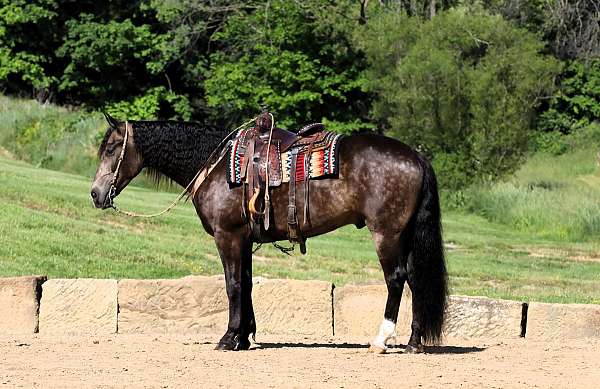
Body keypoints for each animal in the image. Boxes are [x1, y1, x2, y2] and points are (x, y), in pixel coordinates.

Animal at [90, 113, 446, 354]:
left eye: (112, 148)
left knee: (396, 280)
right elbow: (246, 284)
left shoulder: (228, 236)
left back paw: (381, 340)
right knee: (416, 280)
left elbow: (233, 285)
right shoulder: (244, 240)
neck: (215, 165)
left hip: (386, 234)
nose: (95, 194)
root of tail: (416, 156)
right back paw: (414, 341)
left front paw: (229, 338)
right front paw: (245, 336)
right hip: (404, 236)